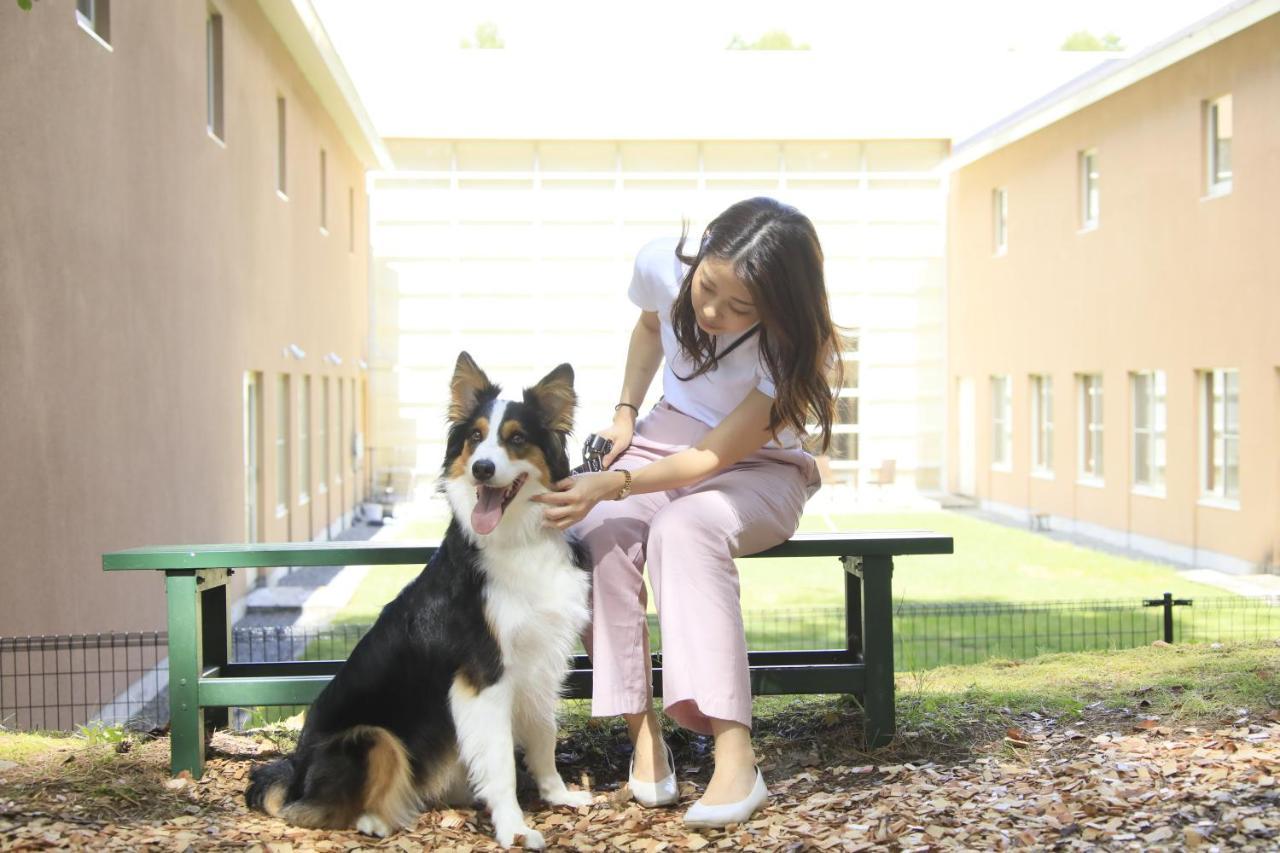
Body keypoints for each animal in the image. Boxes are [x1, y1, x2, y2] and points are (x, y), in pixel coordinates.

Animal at [241, 350, 591, 845]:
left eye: (517, 438)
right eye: (475, 438)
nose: (482, 468)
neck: (518, 540)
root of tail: (294, 773)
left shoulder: (542, 659)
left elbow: (544, 736)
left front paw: (558, 796)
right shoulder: (482, 675)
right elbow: (502, 762)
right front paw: (514, 828)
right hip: (369, 735)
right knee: (310, 810)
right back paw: (375, 819)